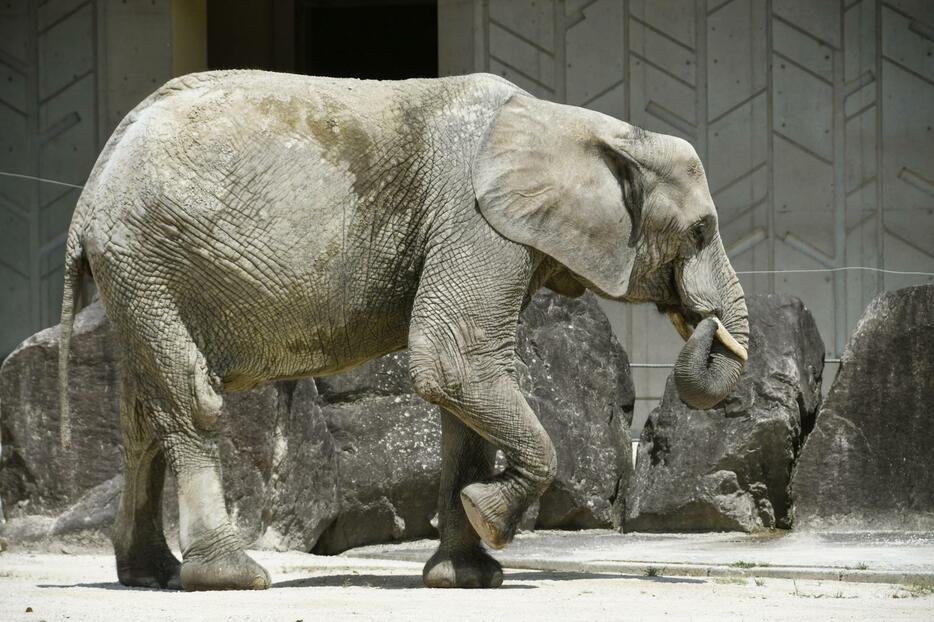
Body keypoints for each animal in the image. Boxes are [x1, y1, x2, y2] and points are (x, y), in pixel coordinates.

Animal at [58, 70, 748, 592]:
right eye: (701, 231)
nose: (709, 327)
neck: (576, 124)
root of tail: (92, 187)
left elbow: (462, 394)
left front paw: (467, 577)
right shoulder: (473, 223)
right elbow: (454, 361)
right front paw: (488, 520)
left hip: (137, 273)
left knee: (141, 416)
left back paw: (151, 575)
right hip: (147, 256)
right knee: (190, 397)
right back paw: (230, 578)